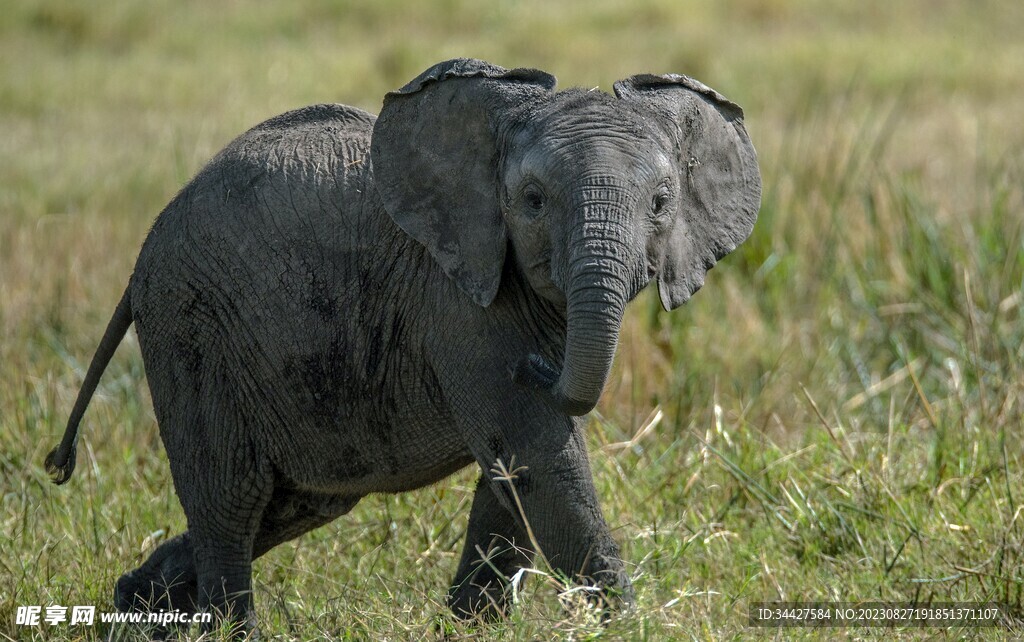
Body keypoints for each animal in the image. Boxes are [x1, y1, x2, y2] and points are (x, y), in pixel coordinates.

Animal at [45, 58, 761, 632]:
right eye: (532, 201)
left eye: (661, 203)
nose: (539, 366)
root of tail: (144, 250)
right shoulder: (462, 301)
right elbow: (535, 452)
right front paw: (632, 628)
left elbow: (512, 472)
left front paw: (469, 628)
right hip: (190, 325)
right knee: (230, 497)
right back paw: (225, 630)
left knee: (293, 500)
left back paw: (136, 609)